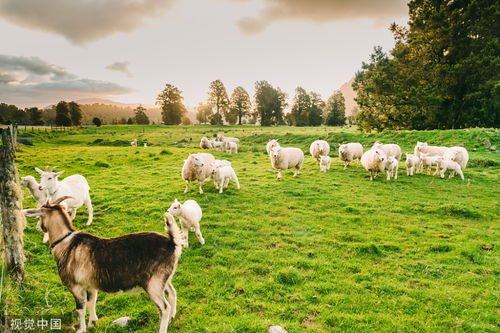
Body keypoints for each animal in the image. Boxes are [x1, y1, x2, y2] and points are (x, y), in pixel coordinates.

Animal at [23, 196, 183, 332]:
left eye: (39, 215)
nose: (38, 228)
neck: (66, 243)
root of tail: (172, 243)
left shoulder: (75, 286)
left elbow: (80, 309)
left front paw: (81, 329)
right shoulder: (90, 285)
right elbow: (91, 302)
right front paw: (92, 323)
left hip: (153, 284)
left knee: (164, 307)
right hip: (164, 278)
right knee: (173, 293)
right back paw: (172, 318)